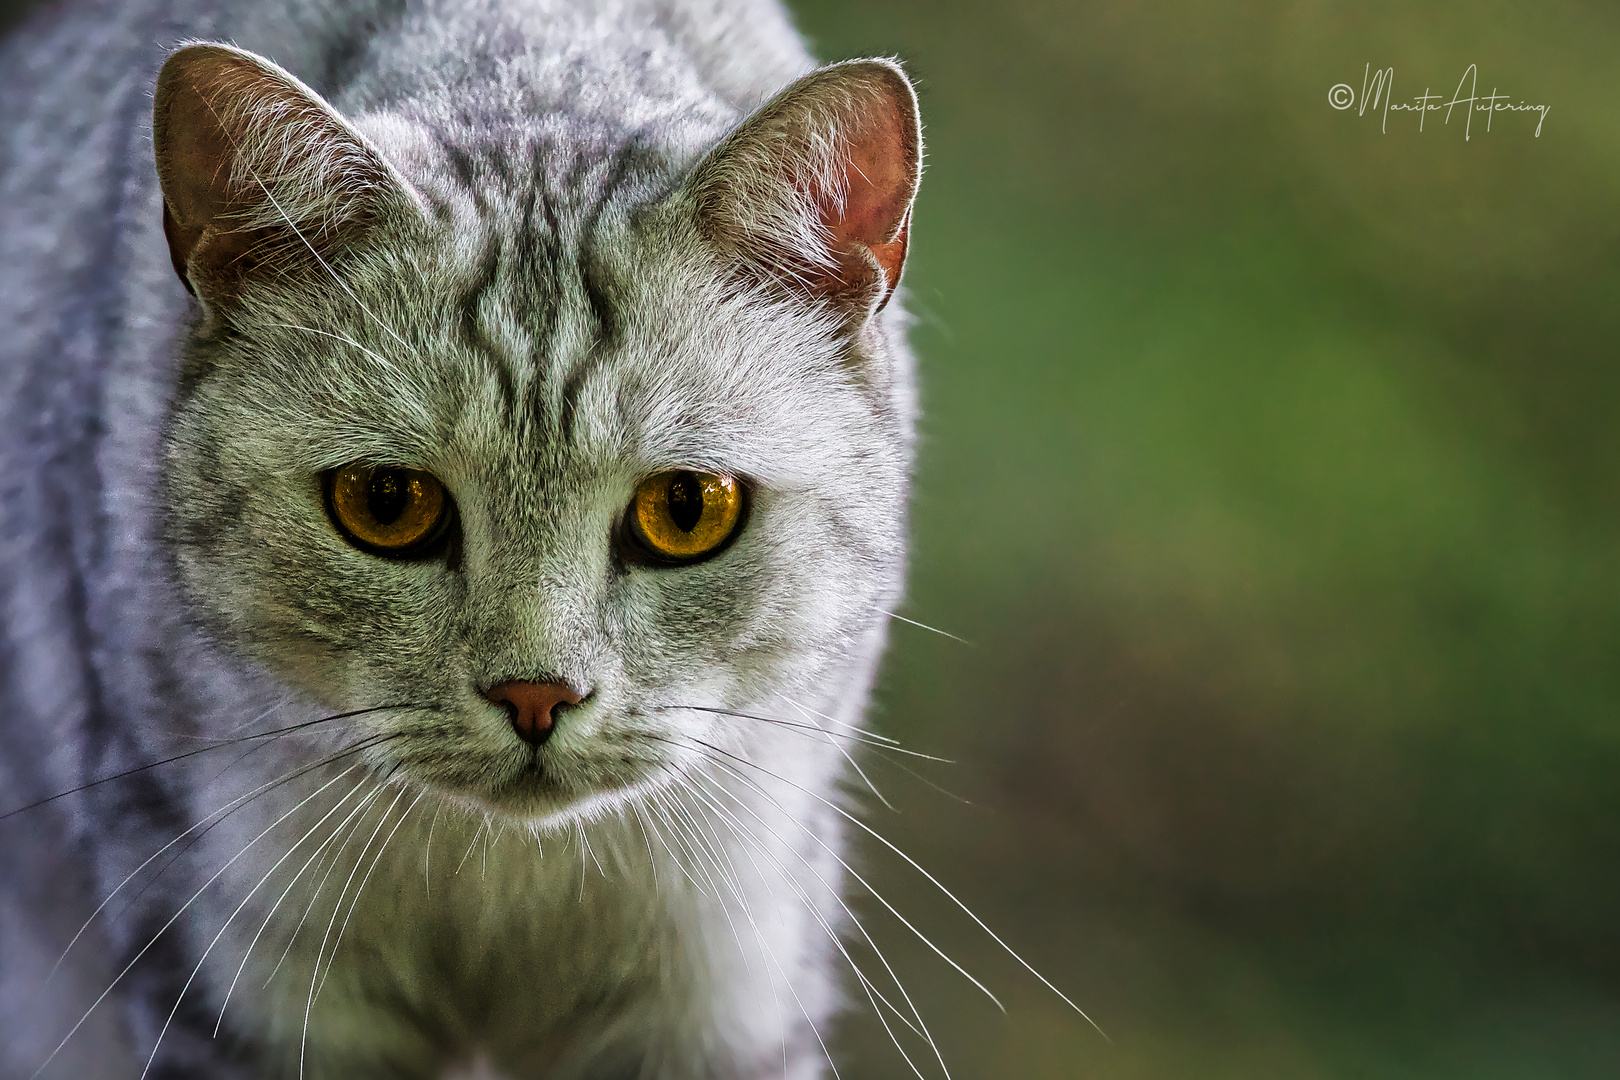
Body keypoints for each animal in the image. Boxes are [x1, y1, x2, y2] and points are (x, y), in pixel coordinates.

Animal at [0, 0, 926, 1075]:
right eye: (386, 501)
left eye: (689, 508)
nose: (536, 696)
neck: (504, 879)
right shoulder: (228, 959)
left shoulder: (729, 971)